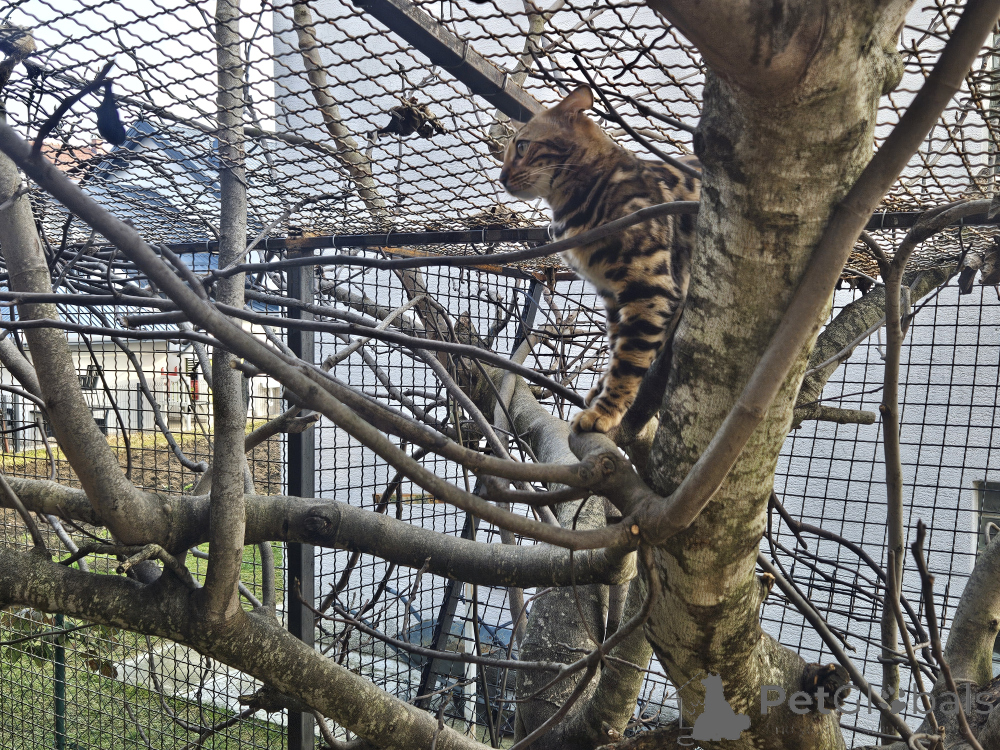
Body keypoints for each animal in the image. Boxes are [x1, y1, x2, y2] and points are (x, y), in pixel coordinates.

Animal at [499, 85, 700, 434]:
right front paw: (601, 391)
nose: (501, 177)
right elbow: (618, 345)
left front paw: (606, 410)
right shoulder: (612, 294)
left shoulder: (649, 287)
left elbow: (630, 358)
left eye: (522, 146)